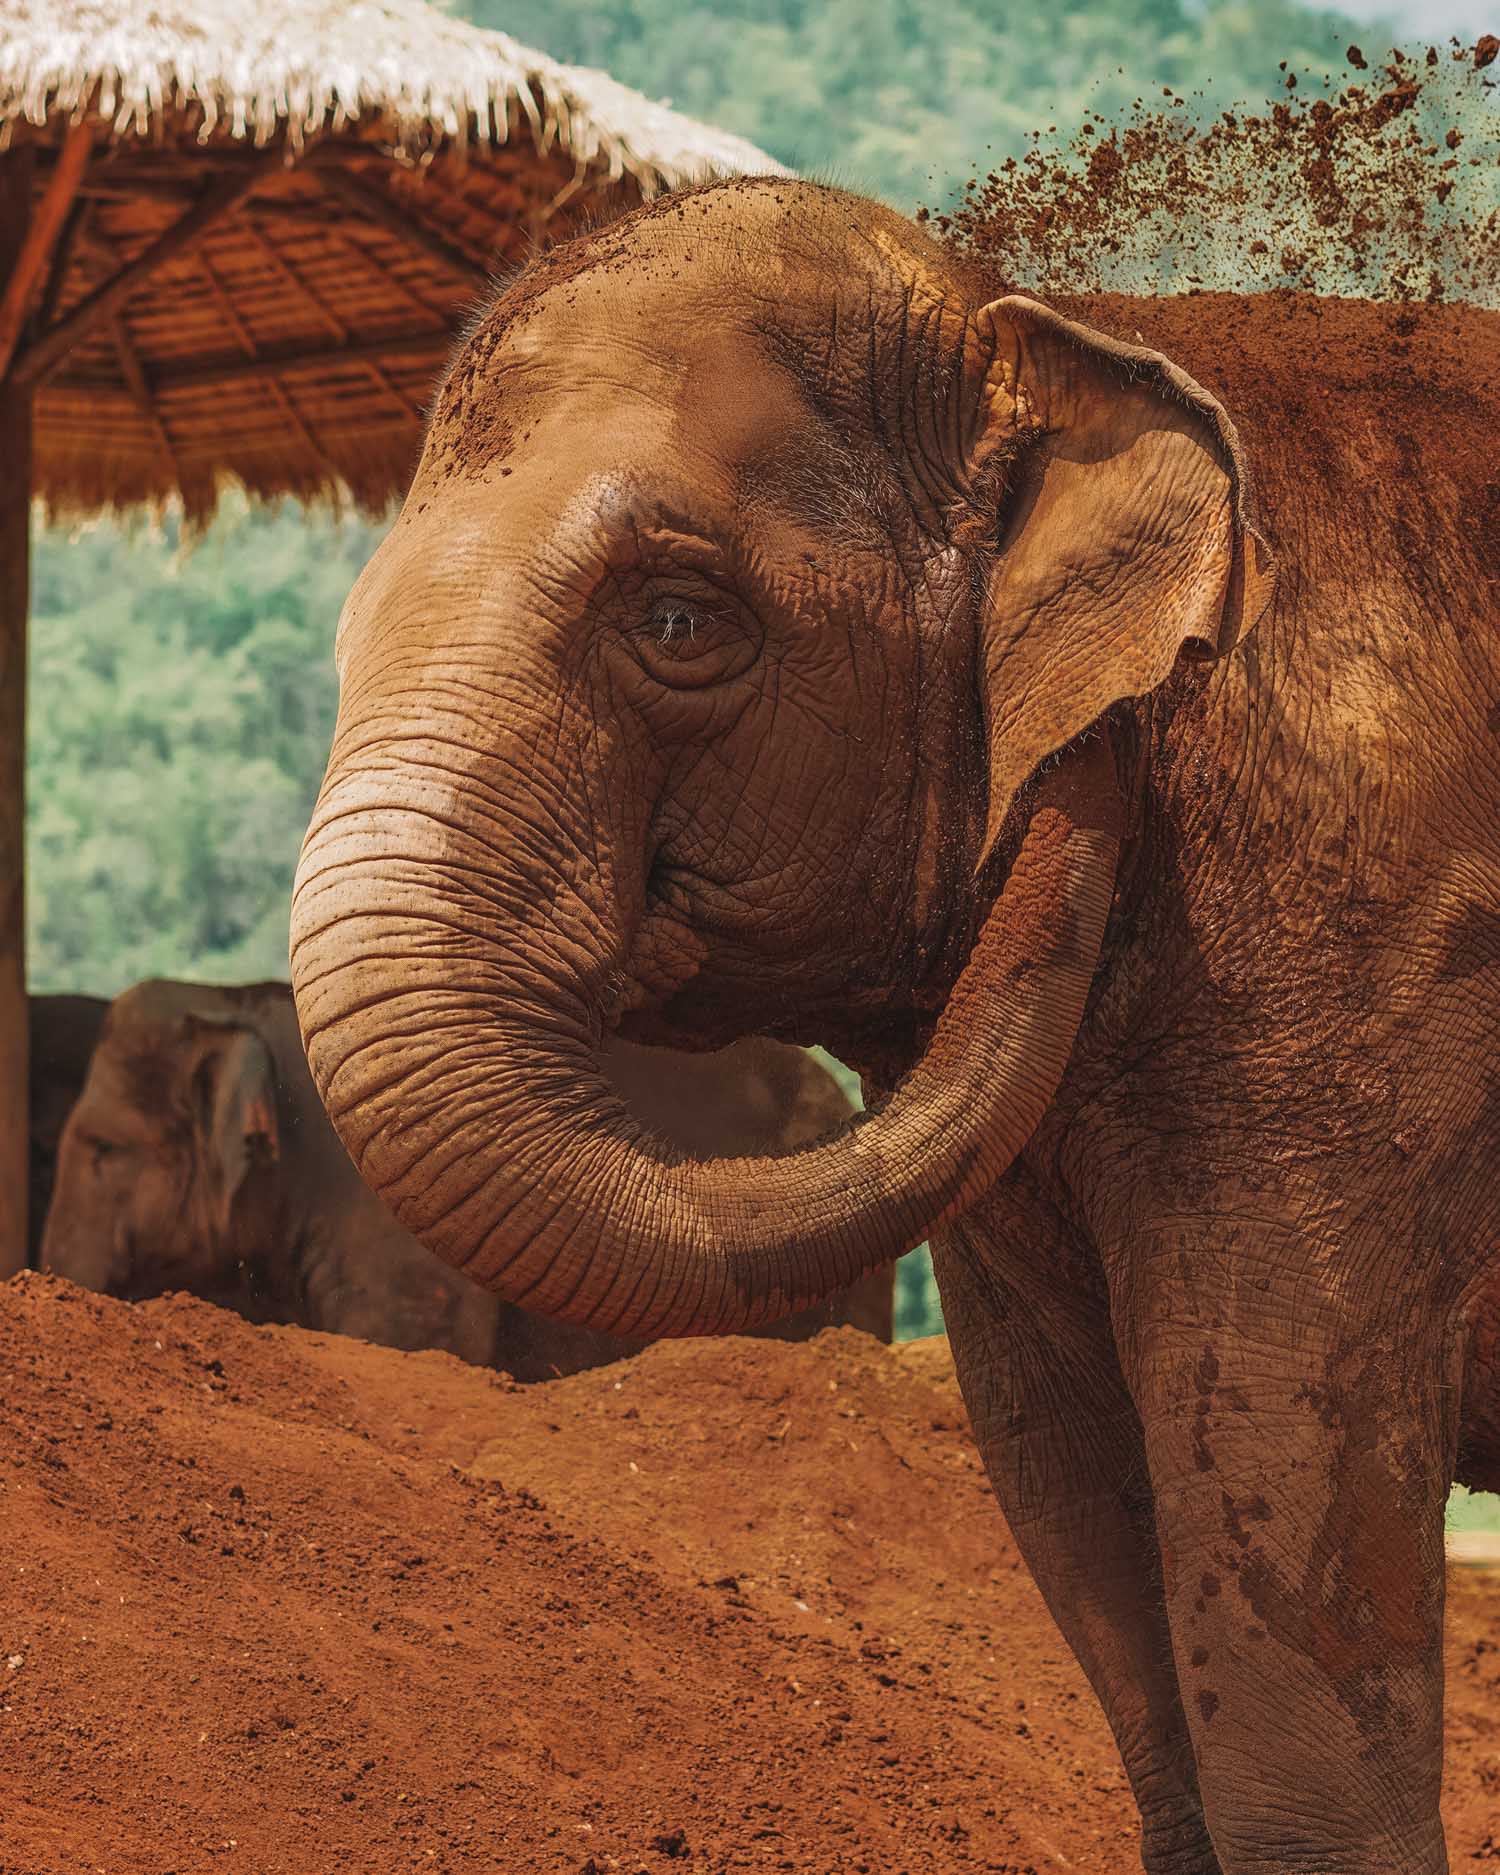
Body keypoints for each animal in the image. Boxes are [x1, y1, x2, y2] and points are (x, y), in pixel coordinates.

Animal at [290, 168, 1500, 1867]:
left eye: (678, 621)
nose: (1084, 768)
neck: (1061, 336)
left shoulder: (1358, 967)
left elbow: (1278, 1491)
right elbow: (1076, 1484)